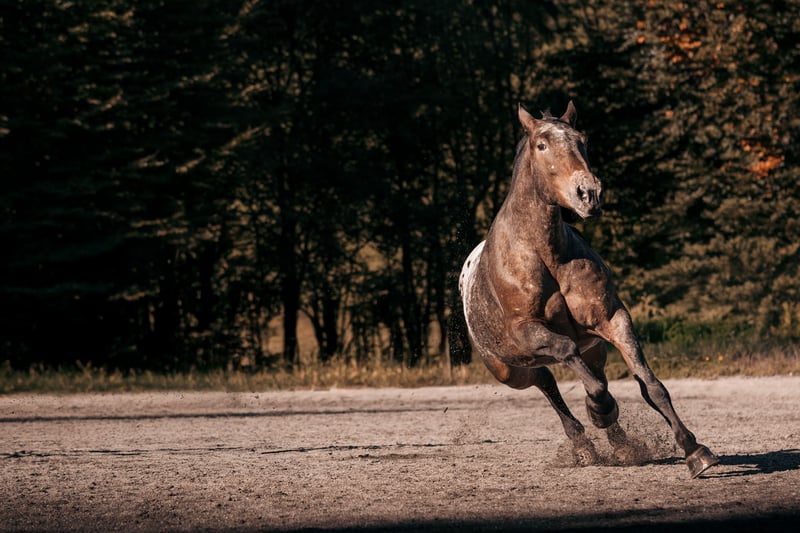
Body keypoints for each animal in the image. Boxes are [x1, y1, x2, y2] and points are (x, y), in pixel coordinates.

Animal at [458, 101, 718, 478]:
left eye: (582, 140)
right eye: (542, 144)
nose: (590, 193)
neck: (545, 253)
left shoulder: (612, 319)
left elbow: (651, 386)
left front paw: (694, 450)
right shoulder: (528, 331)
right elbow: (574, 359)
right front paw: (600, 409)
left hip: (592, 349)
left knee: (580, 374)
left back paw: (619, 445)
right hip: (510, 369)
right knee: (546, 381)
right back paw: (583, 444)